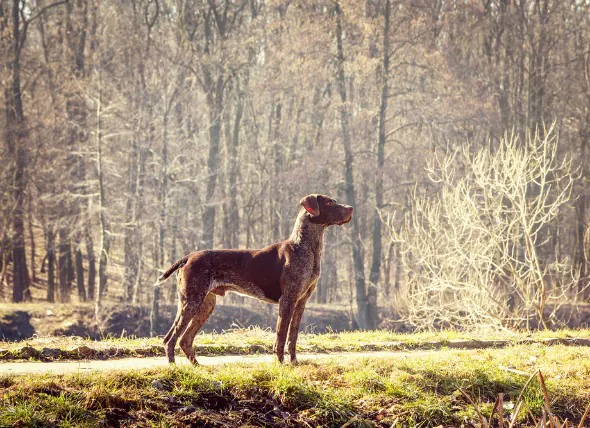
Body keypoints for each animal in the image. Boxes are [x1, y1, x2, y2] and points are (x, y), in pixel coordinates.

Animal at [155, 194, 354, 364]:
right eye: (329, 203)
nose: (351, 208)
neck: (305, 247)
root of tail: (188, 257)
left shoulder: (300, 302)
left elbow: (292, 338)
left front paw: (294, 363)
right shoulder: (287, 301)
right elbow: (281, 337)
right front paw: (281, 364)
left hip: (205, 305)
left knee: (184, 339)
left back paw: (197, 367)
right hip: (192, 302)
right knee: (171, 339)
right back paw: (174, 367)